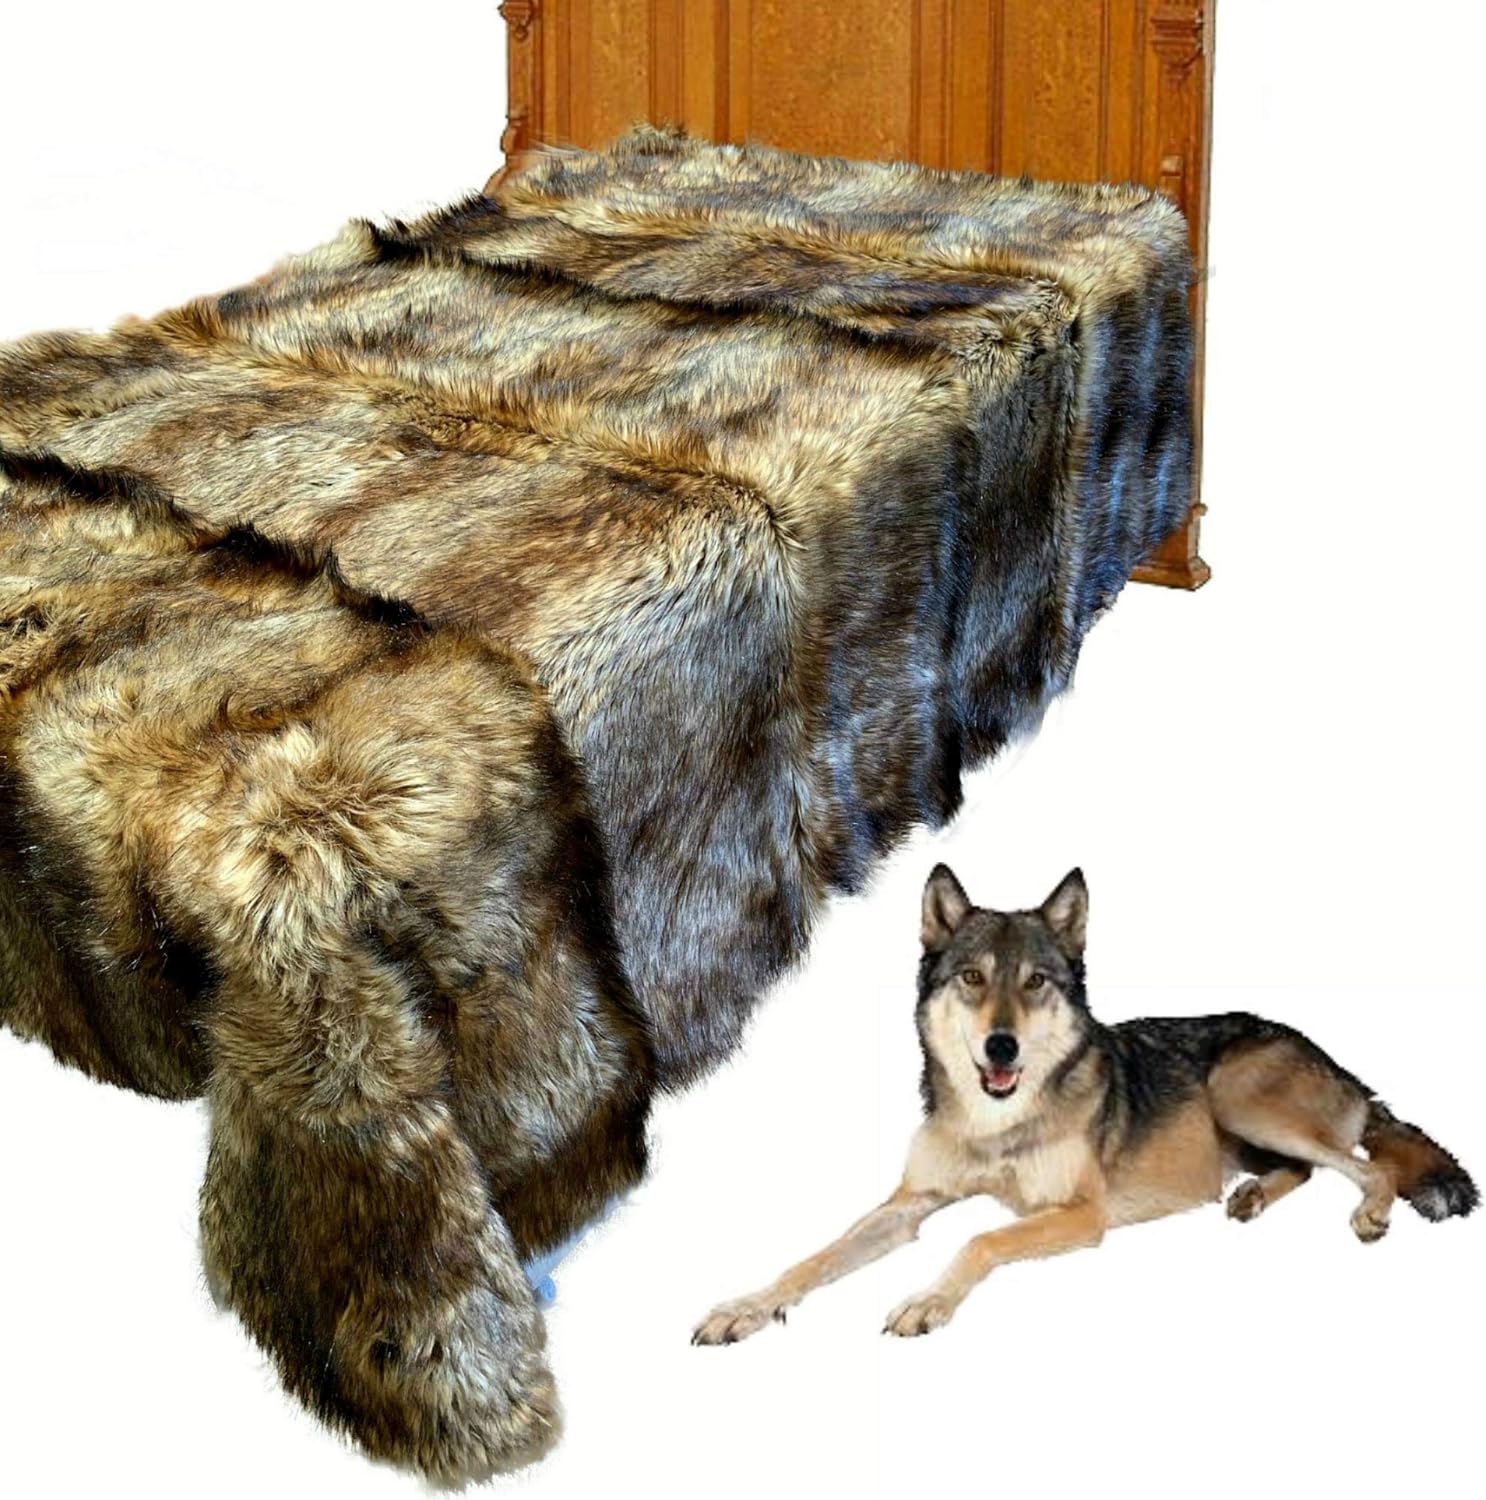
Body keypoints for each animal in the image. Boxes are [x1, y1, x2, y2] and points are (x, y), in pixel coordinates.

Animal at [694, 866, 1476, 1343]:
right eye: (974, 978)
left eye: (1035, 982)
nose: (1002, 1046)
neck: (997, 1122)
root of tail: (1334, 1059)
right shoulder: (910, 1202)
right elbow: (814, 1258)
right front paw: (744, 1308)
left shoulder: (1082, 1215)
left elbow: (980, 1239)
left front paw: (926, 1301)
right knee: (1312, 1168)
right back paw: (1250, 1197)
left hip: (1240, 1097)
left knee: (1367, 1164)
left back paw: (1369, 1214)